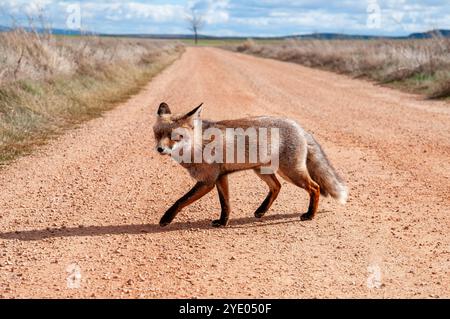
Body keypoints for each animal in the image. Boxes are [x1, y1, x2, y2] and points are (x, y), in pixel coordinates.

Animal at [154, 102, 348, 228]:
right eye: (157, 134)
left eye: (175, 136)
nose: (160, 149)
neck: (198, 145)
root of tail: (299, 127)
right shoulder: (220, 177)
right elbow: (225, 204)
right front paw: (223, 222)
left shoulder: (208, 181)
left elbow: (180, 200)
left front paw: (166, 219)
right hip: (262, 171)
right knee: (277, 187)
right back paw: (261, 211)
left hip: (291, 173)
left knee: (314, 188)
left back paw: (309, 215)